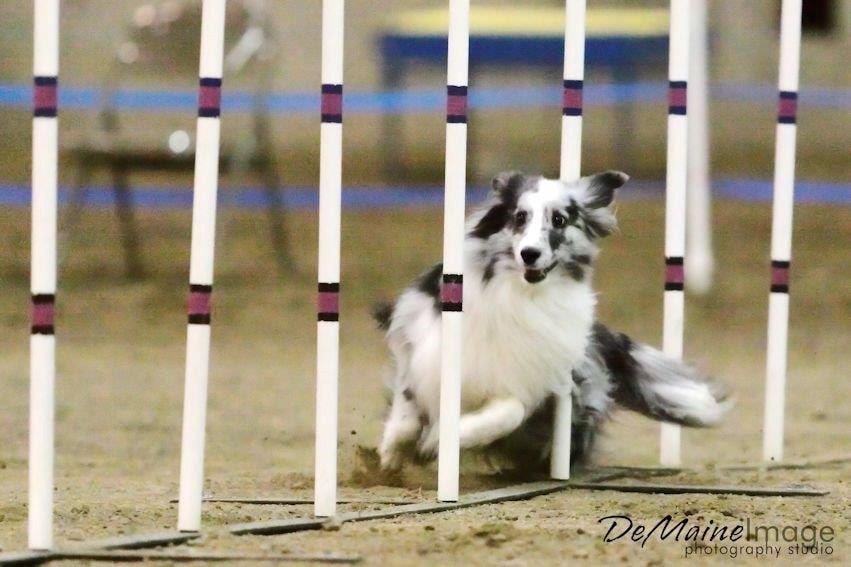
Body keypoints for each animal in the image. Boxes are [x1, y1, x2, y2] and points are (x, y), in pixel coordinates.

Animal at [373, 171, 729, 472]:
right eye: (520, 217)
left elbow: (508, 412)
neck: (520, 295)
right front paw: (393, 453)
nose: (529, 254)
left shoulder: (526, 378)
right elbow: (407, 400)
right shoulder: (419, 339)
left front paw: (444, 439)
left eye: (559, 220)